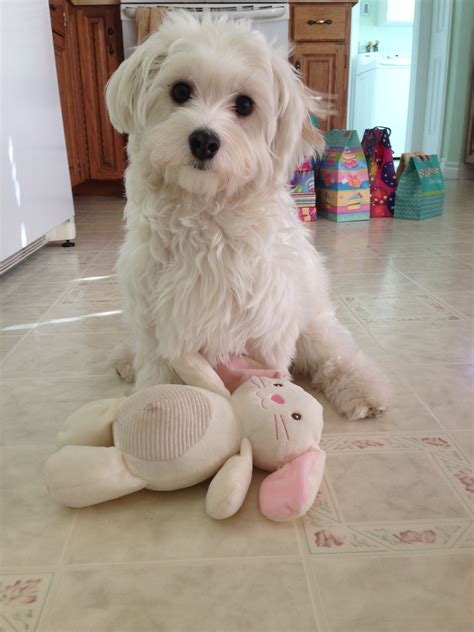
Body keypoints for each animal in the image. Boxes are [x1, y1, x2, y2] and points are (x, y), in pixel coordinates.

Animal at [105, 9, 390, 420]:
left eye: (244, 105)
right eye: (180, 91)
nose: (204, 140)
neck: (205, 212)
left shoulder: (266, 325)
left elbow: (271, 369)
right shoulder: (158, 323)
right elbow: (158, 376)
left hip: (314, 328)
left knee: (338, 354)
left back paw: (365, 390)